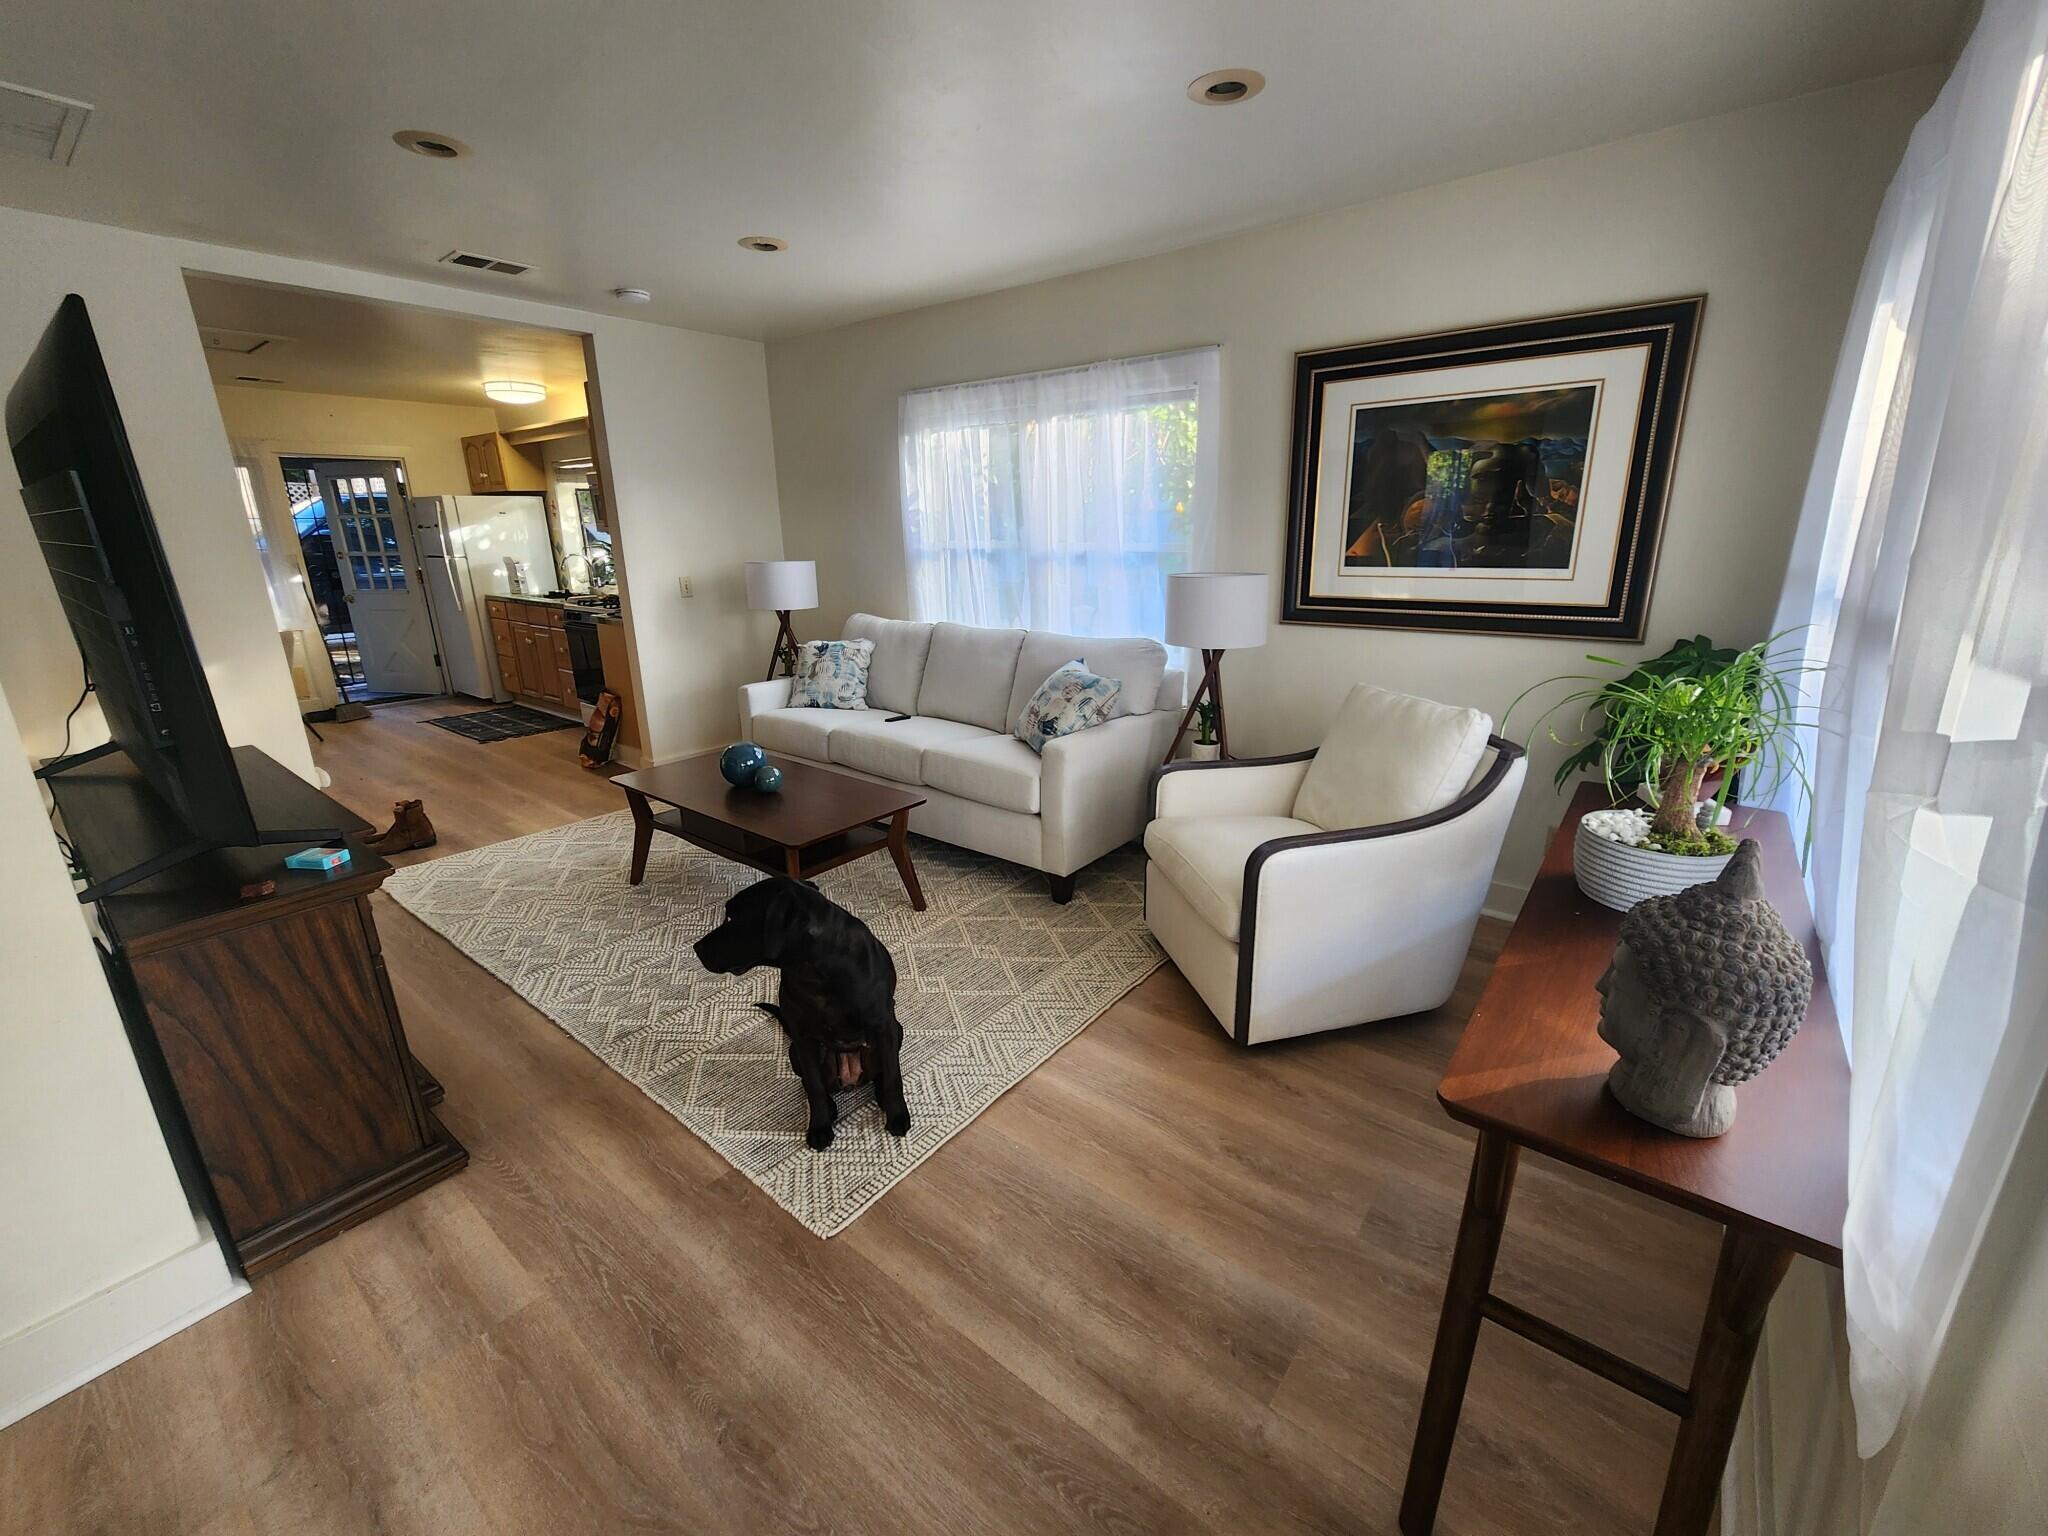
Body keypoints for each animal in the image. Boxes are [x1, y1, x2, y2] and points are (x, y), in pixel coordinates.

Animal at [692, 884, 909, 1146]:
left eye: (732, 918)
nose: (696, 948)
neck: (816, 971)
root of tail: (851, 1078)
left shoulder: (883, 1025)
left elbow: (893, 1076)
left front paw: (897, 1117)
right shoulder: (803, 1038)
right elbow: (814, 1086)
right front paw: (819, 1127)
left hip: (896, 1031)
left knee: (882, 1073)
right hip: (795, 1052)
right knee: (810, 1081)